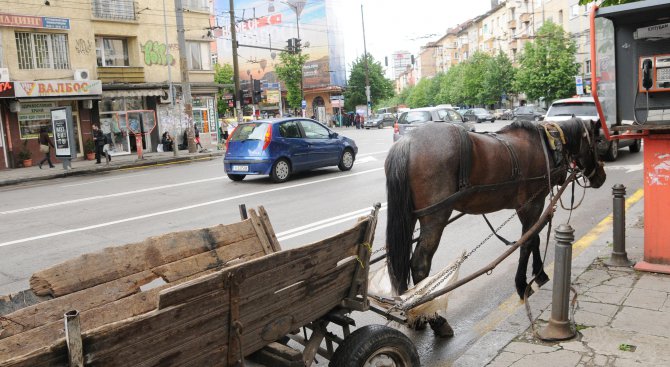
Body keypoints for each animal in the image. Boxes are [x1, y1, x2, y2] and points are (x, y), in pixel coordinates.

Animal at [384, 118, 608, 336]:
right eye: (597, 142)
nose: (602, 177)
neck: (548, 144)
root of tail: (408, 141)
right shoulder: (532, 204)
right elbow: (527, 242)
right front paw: (522, 285)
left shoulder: (530, 206)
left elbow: (534, 238)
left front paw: (540, 274)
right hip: (435, 217)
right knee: (419, 264)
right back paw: (436, 320)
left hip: (410, 217)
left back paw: (415, 314)